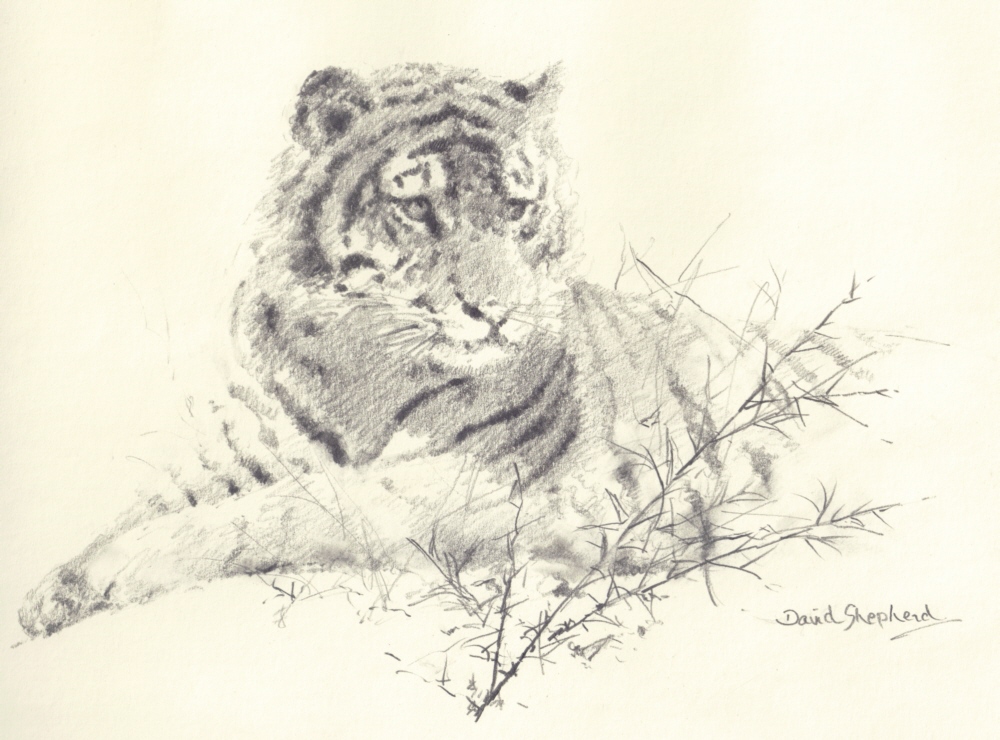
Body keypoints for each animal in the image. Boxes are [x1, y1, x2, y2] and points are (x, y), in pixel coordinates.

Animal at [19, 64, 799, 640]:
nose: (497, 311)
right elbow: (177, 496)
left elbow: (293, 509)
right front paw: (52, 590)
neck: (361, 373)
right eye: (418, 206)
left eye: (517, 207)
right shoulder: (245, 452)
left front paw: (92, 577)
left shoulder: (495, 485)